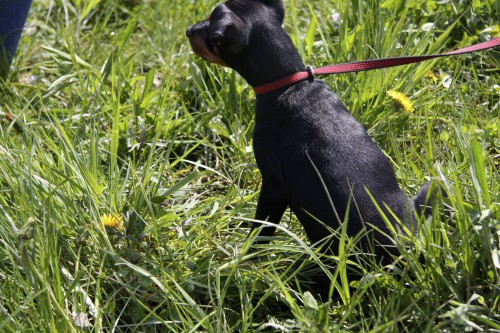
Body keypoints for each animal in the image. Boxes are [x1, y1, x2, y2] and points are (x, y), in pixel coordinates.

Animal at [188, 0, 430, 264]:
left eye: (213, 32)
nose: (189, 31)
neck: (290, 83)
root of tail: (409, 252)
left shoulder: (272, 184)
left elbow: (260, 229)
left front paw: (244, 259)